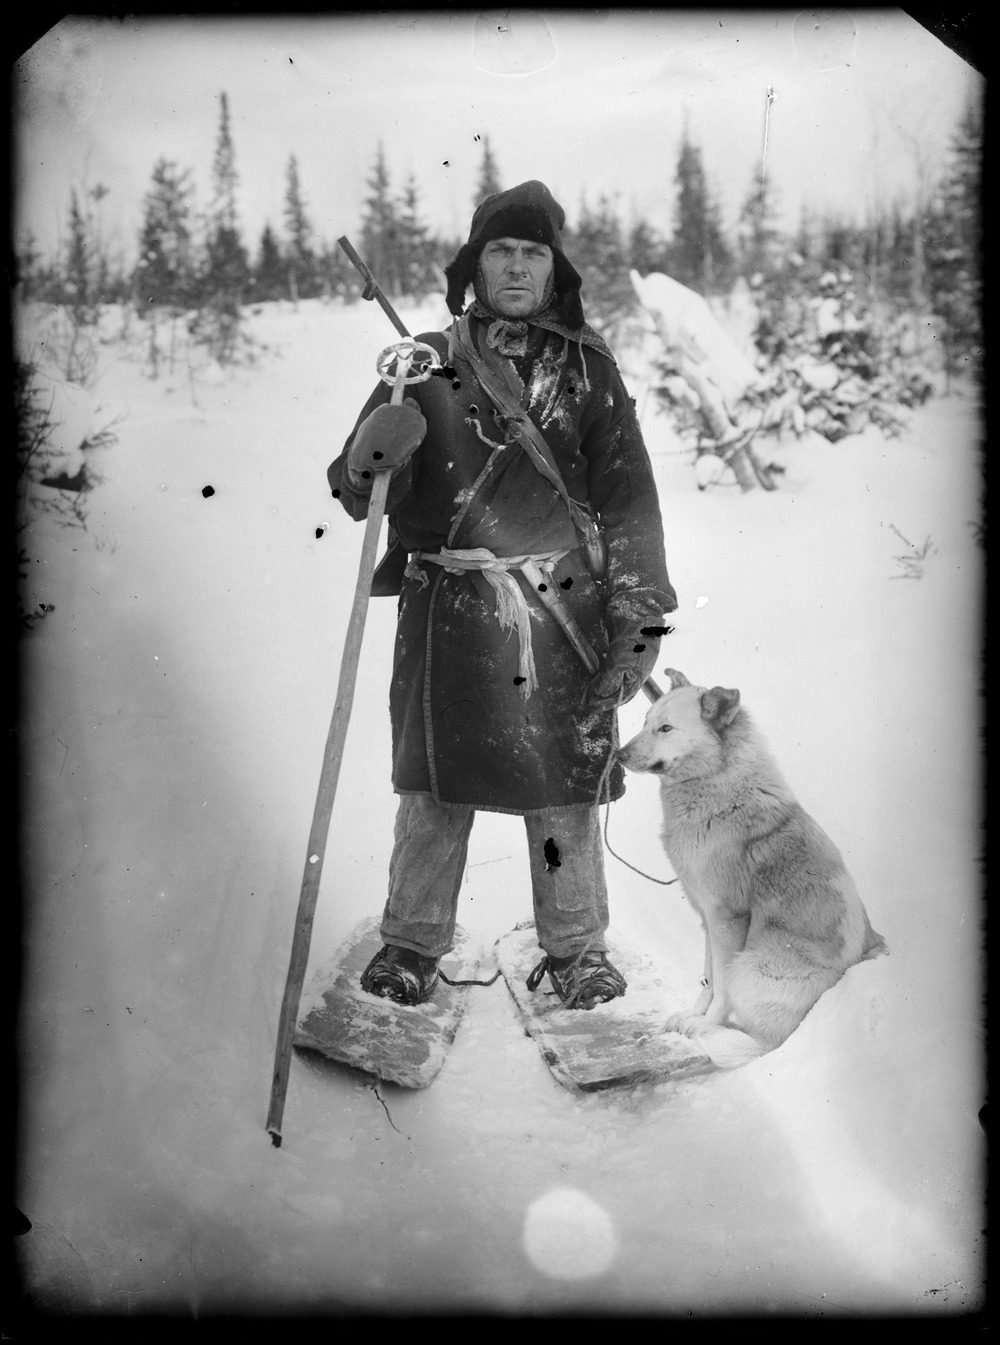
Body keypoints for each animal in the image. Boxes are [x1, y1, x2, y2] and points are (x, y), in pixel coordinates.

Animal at [618, 669, 887, 1068]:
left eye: (665, 728)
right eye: (645, 722)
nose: (618, 754)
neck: (718, 790)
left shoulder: (728, 919)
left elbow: (721, 987)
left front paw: (705, 1025)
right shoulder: (708, 919)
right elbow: (708, 978)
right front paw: (692, 1016)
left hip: (751, 963)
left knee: (764, 1043)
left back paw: (725, 1039)